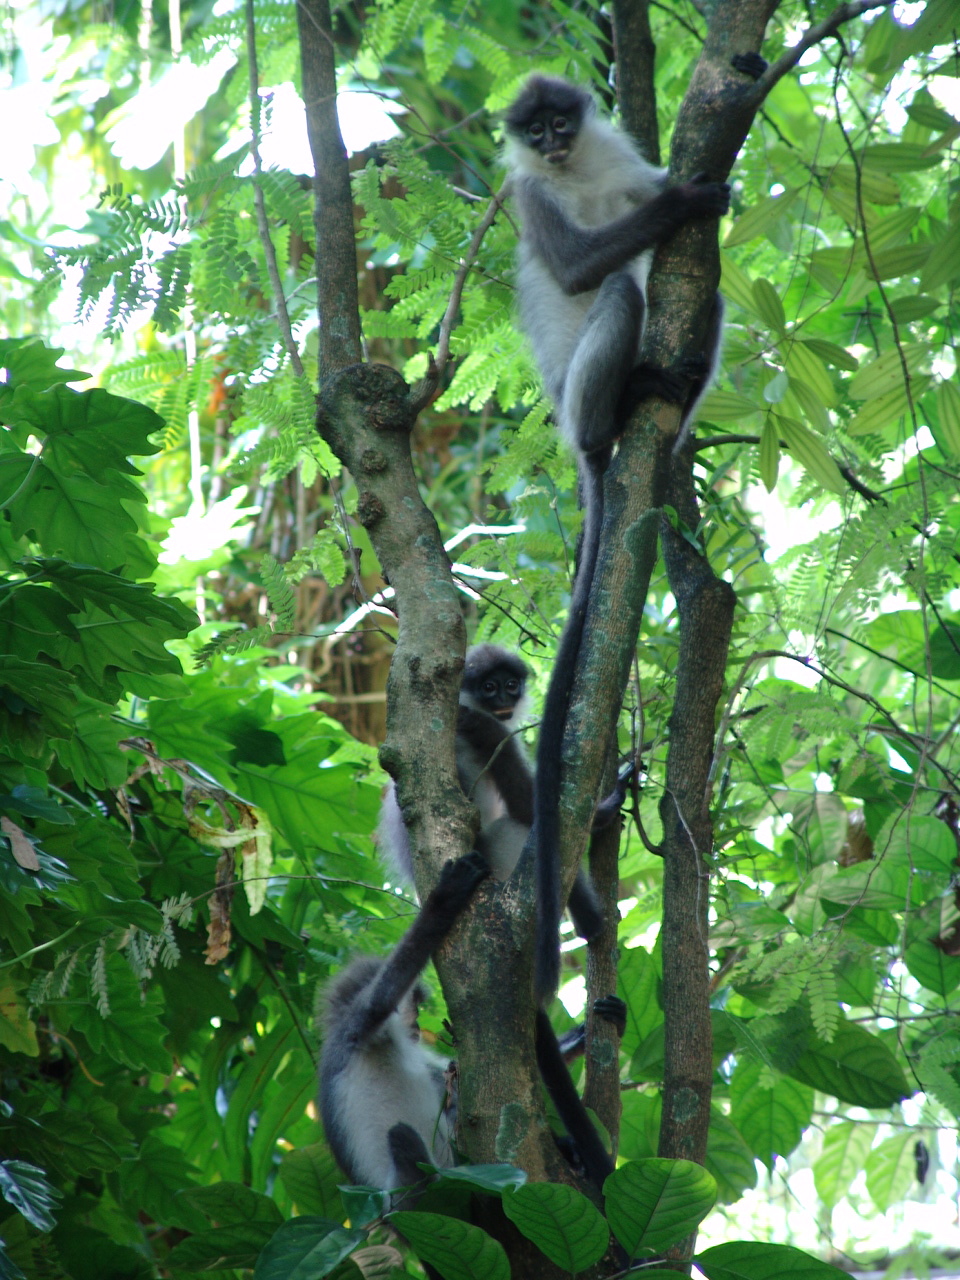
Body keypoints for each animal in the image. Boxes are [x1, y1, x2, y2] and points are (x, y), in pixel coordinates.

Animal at [503, 73, 737, 1001]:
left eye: (561, 120)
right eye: (534, 131)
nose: (553, 140)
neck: (572, 172)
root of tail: (577, 440)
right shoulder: (527, 193)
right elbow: (573, 268)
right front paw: (687, 201)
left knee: (698, 297)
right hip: (575, 394)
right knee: (617, 293)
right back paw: (625, 405)